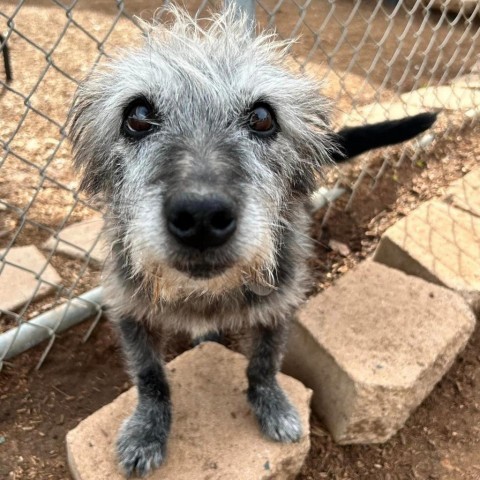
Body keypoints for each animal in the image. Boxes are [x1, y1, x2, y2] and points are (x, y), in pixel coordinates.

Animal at [70, 5, 436, 478]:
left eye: (263, 117)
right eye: (137, 115)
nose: (202, 216)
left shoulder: (278, 305)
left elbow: (264, 364)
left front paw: (272, 406)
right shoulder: (129, 310)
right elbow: (150, 377)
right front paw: (147, 430)